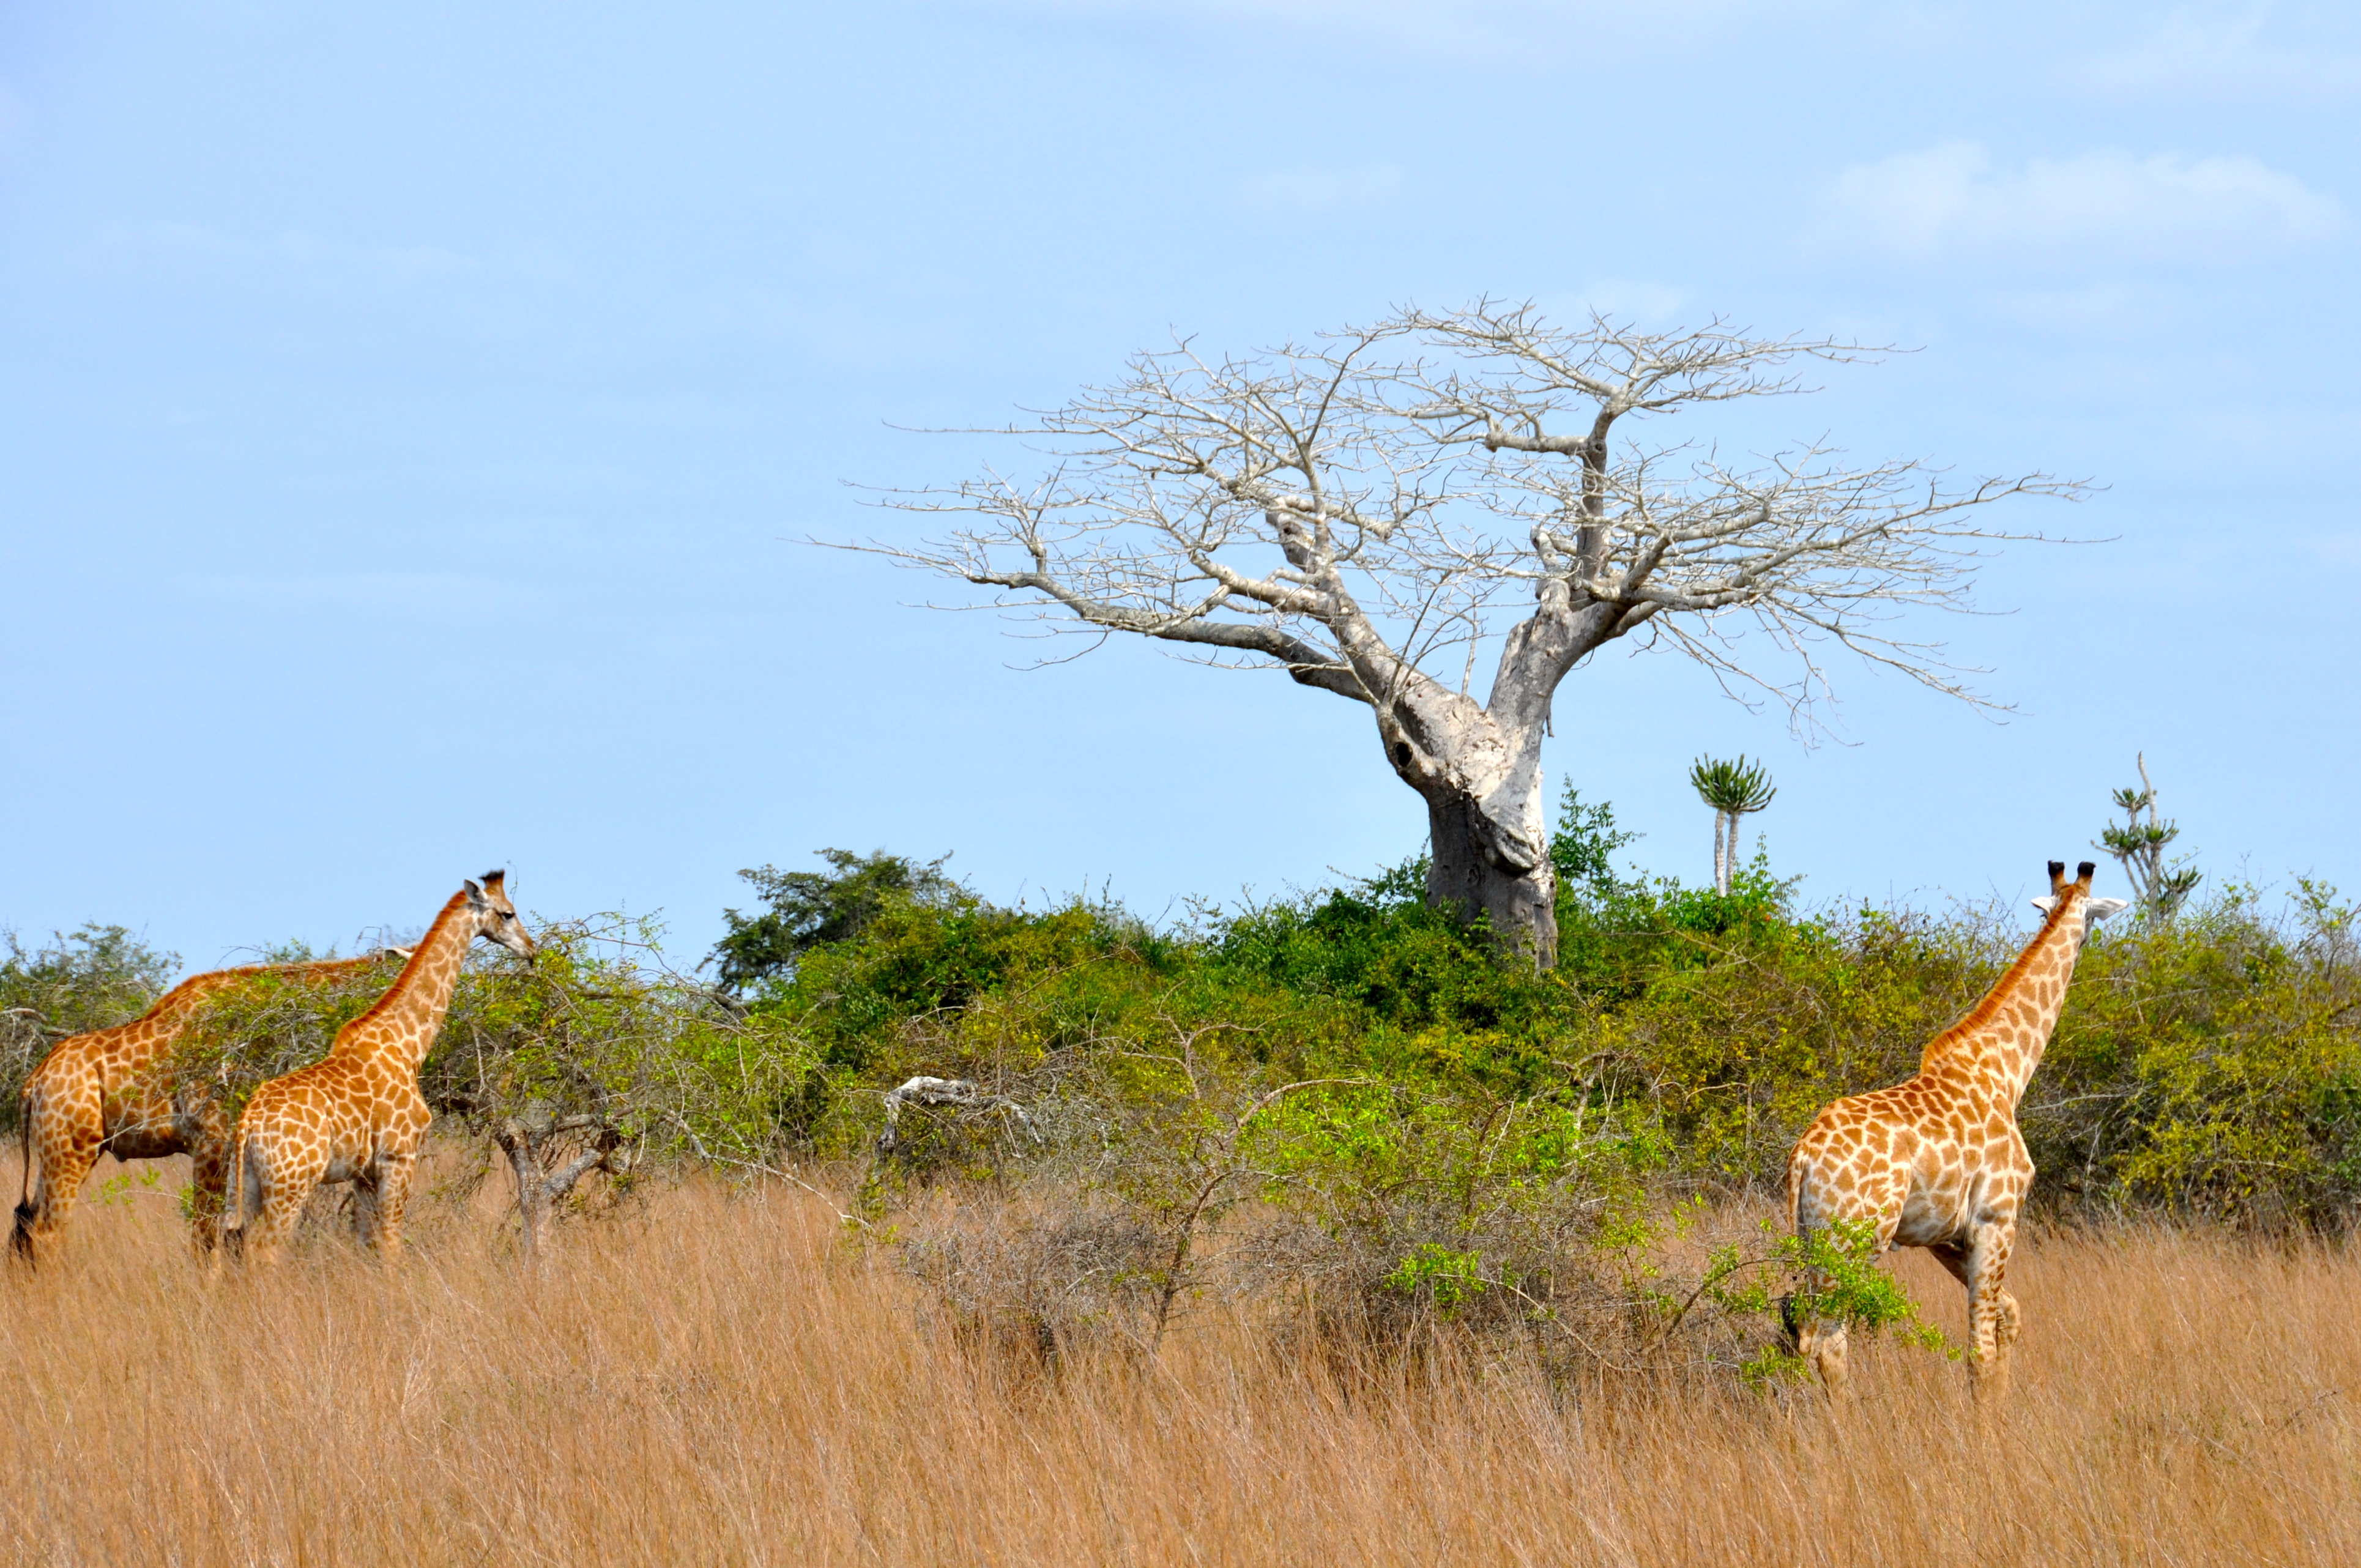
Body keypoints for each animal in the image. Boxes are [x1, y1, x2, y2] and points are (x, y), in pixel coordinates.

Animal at [13, 950, 407, 1265]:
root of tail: (34, 1081)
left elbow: (231, 1238)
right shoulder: (212, 1140)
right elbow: (206, 1240)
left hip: (61, 1152)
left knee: (24, 1225)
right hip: (72, 1151)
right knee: (46, 1232)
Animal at [221, 872, 536, 1264]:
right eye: (509, 913)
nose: (531, 950)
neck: (407, 1046)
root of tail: (248, 1122)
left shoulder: (363, 1174)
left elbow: (366, 1243)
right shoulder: (398, 1158)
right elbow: (391, 1244)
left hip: (245, 1183)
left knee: (228, 1243)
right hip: (290, 1184)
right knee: (265, 1250)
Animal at [1783, 860, 2127, 1406]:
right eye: (2091, 924)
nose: (2086, 949)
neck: (2006, 1071)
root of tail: (1803, 1156)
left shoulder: (1943, 1234)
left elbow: (2010, 1315)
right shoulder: (1996, 1219)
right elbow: (1978, 1352)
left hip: (1814, 1237)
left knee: (1806, 1334)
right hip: (1856, 1239)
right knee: (1828, 1338)